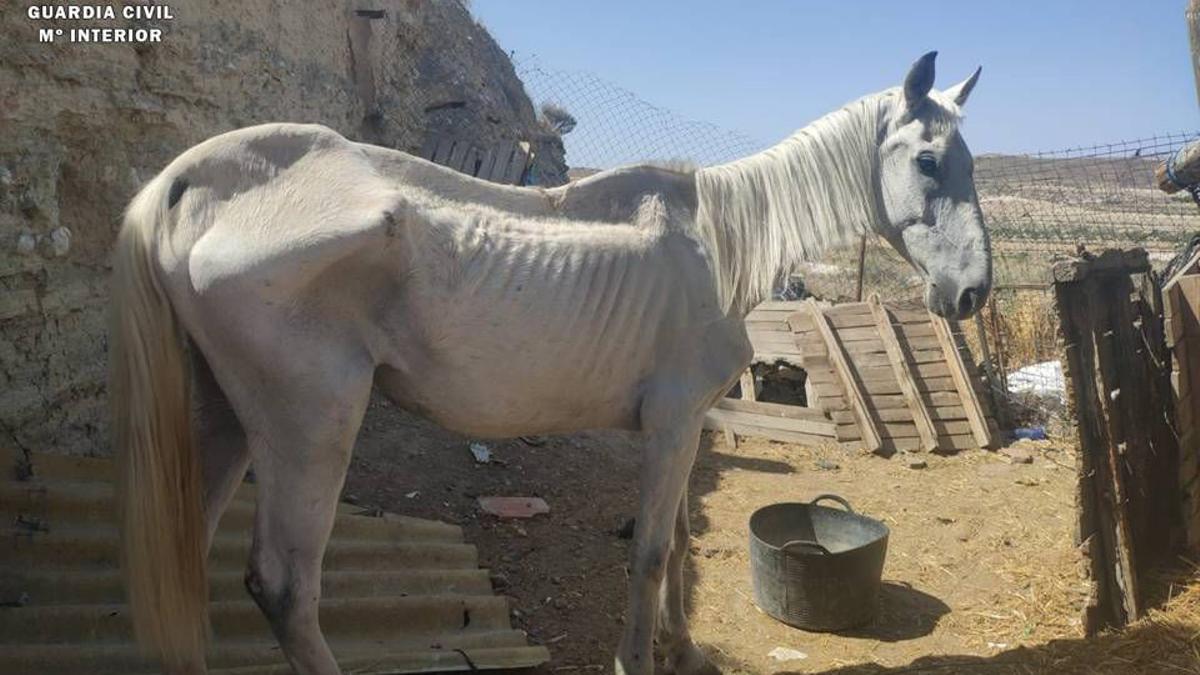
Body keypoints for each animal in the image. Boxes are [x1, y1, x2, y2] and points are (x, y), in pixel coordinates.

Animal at [110, 52, 993, 672]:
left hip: (221, 415)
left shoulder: (686, 428)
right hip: (311, 422)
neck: (716, 243)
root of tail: (191, 184)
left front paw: (684, 650)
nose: (973, 290)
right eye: (926, 161)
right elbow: (649, 553)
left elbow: (678, 540)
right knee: (285, 588)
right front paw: (637, 660)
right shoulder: (672, 426)